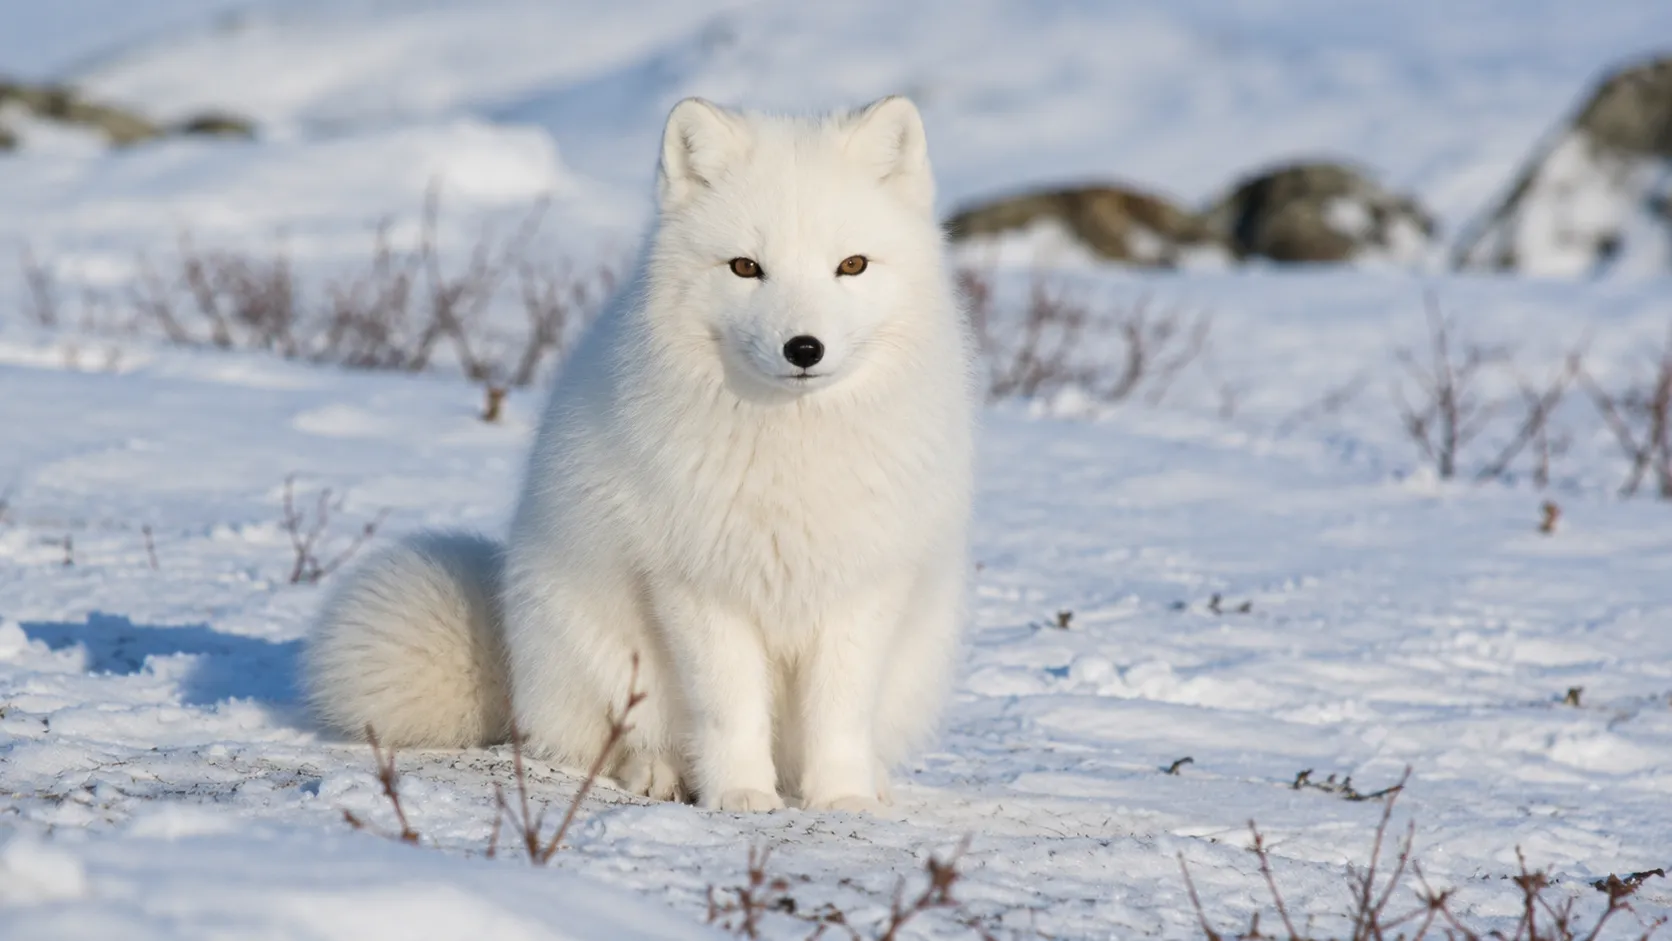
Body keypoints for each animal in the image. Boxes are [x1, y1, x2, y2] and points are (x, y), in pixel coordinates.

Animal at [303, 96, 976, 813]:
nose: (803, 348)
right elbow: (731, 710)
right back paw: (659, 773)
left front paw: (842, 798)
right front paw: (742, 793)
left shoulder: (863, 586)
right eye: (745, 267)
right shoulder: (697, 585)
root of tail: (514, 662)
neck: (792, 449)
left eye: (852, 265)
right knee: (622, 739)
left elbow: (841, 712)